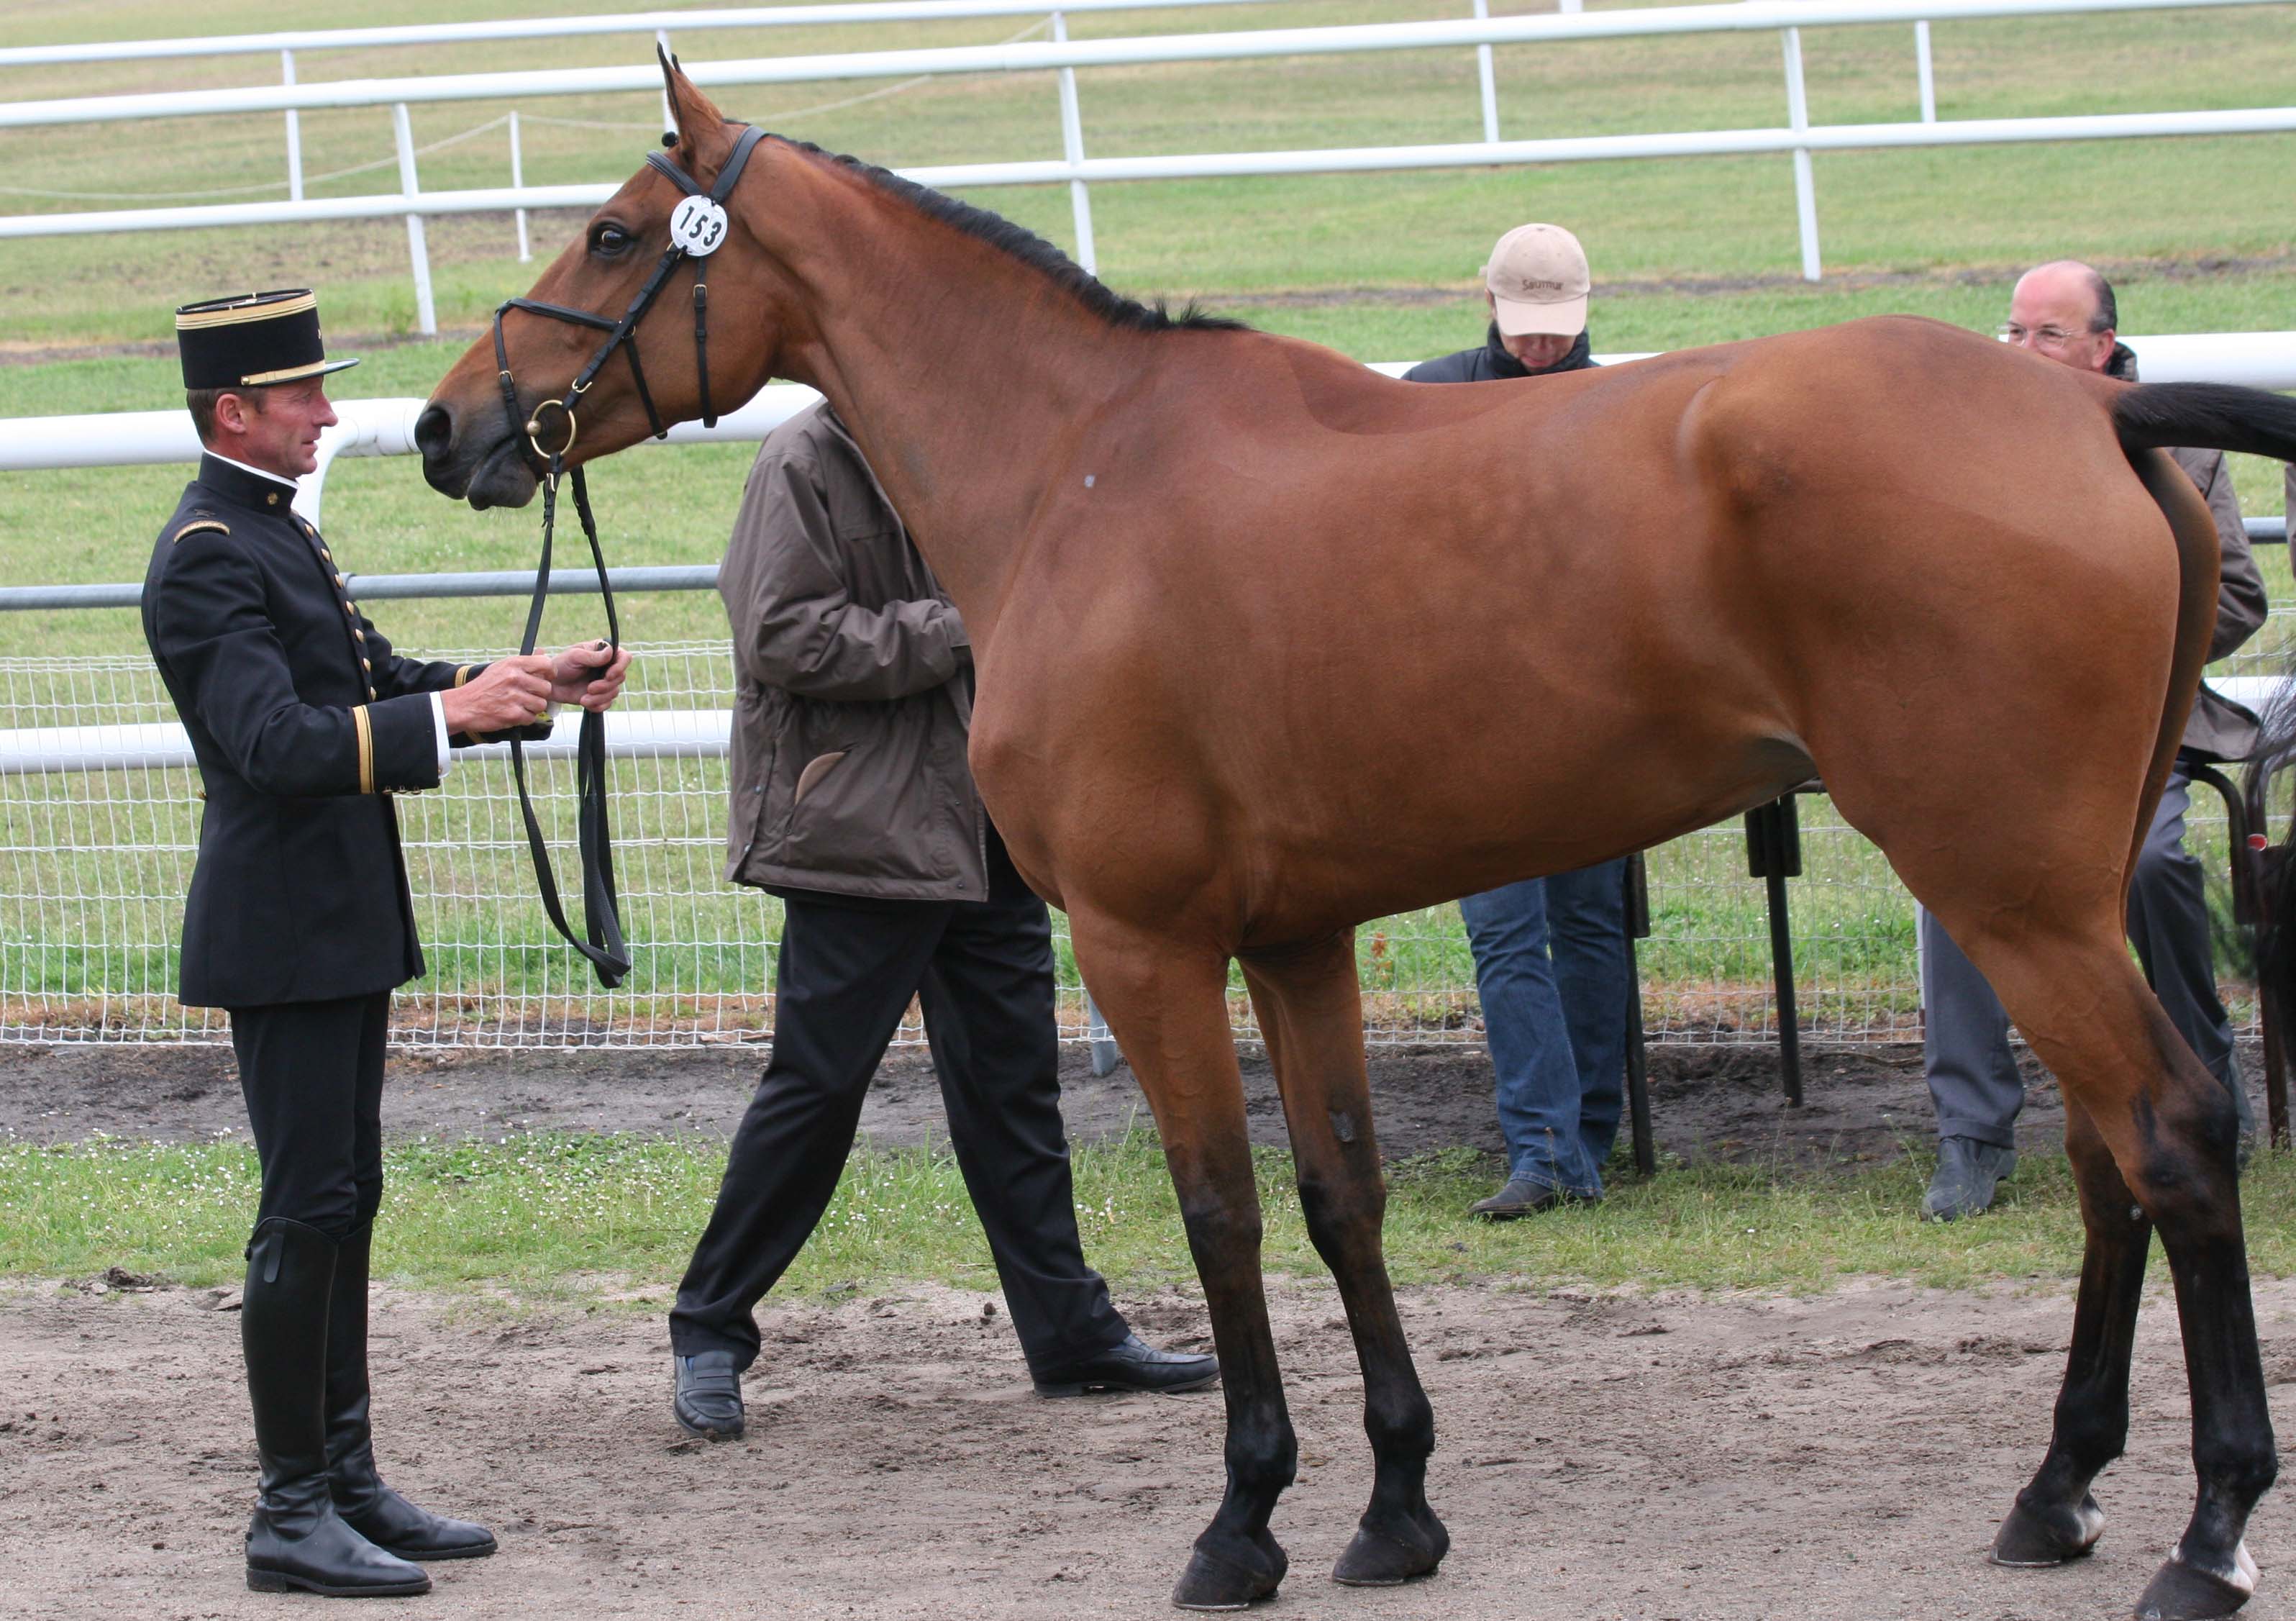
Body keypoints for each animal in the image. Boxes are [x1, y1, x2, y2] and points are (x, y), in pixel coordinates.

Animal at [417, 56, 2296, 1607]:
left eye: (609, 232)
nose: (448, 426)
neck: (1081, 468)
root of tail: (2087, 407)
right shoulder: (1296, 935)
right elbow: (1343, 1196)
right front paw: (1394, 1506)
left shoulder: (1147, 942)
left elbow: (1220, 1210)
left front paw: (1242, 1518)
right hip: (2065, 890)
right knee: (2107, 1156)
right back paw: (2056, 1487)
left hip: (2010, 890)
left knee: (2176, 1130)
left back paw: (2205, 1530)